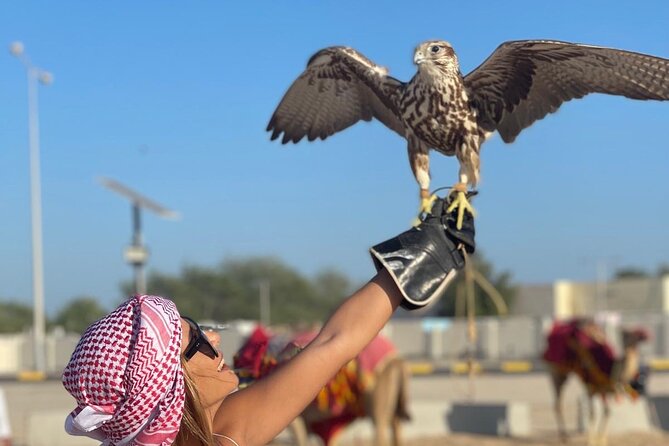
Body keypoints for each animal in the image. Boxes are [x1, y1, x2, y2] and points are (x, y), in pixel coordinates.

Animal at [234, 326, 411, 446]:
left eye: (244, 358)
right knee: (395, 426)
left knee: (380, 428)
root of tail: (397, 359)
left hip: (376, 395)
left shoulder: (295, 415)